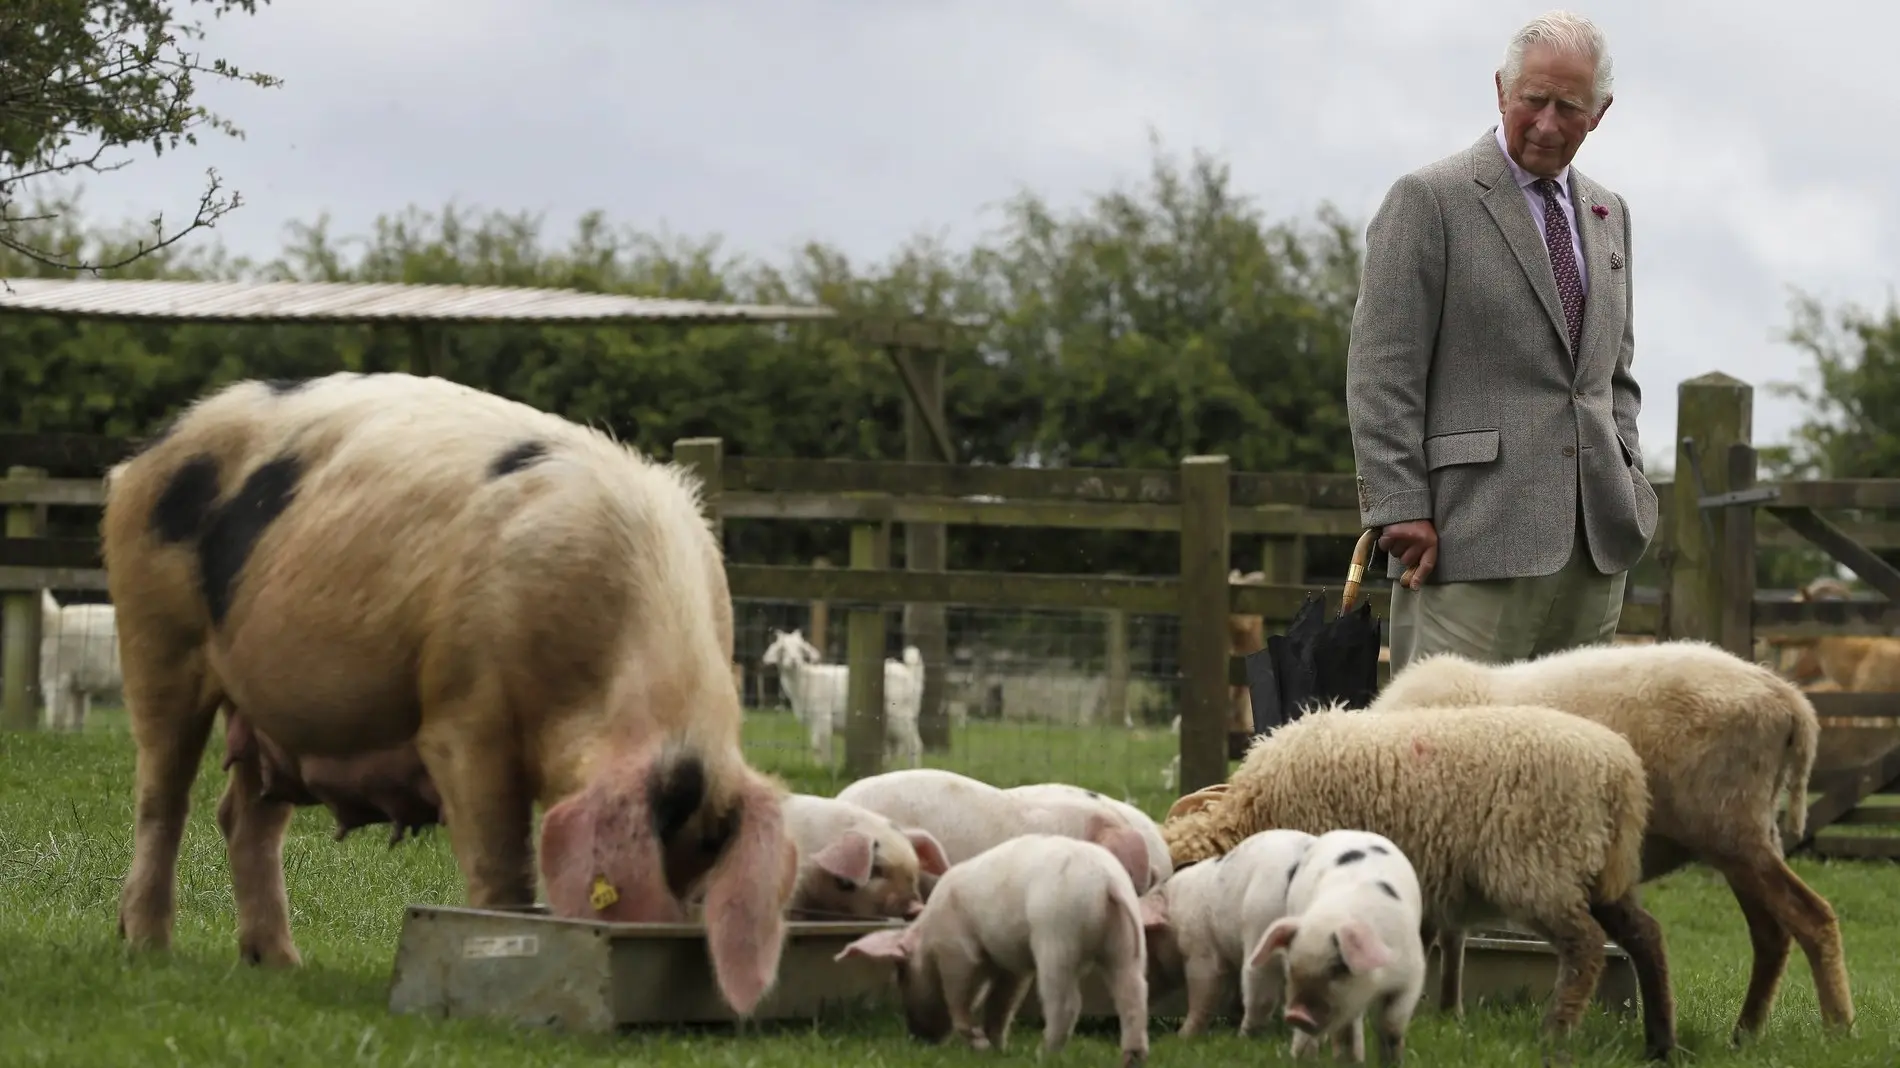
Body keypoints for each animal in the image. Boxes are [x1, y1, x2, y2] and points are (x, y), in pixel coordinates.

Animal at [100, 374, 798, 1010]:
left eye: (704, 867)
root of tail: (151, 449)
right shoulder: (464, 714)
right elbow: (502, 862)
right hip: (155, 633)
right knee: (162, 799)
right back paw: (148, 948)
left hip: (267, 710)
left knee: (245, 817)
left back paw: (280, 964)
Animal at [763, 623, 927, 763]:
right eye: (782, 649)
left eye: (801, 649)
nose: (794, 661)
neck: (806, 681)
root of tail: (911, 674)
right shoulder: (814, 722)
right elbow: (817, 748)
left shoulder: (823, 717)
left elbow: (820, 747)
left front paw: (825, 769)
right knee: (898, 747)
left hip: (900, 715)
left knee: (913, 746)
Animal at [1155, 699, 1679, 1056]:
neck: (1255, 814)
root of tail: (1621, 772)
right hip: (1593, 871)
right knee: (1647, 936)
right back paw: (1660, 1042)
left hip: (1539, 866)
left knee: (1585, 947)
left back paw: (1555, 1032)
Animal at [1375, 634, 1846, 1033]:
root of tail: (1786, 697)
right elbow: (1450, 934)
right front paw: (1447, 1012)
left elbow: (1433, 933)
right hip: (1747, 832)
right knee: (1772, 935)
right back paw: (1745, 1034)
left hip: (1730, 828)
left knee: (1812, 917)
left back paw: (1837, 1029)